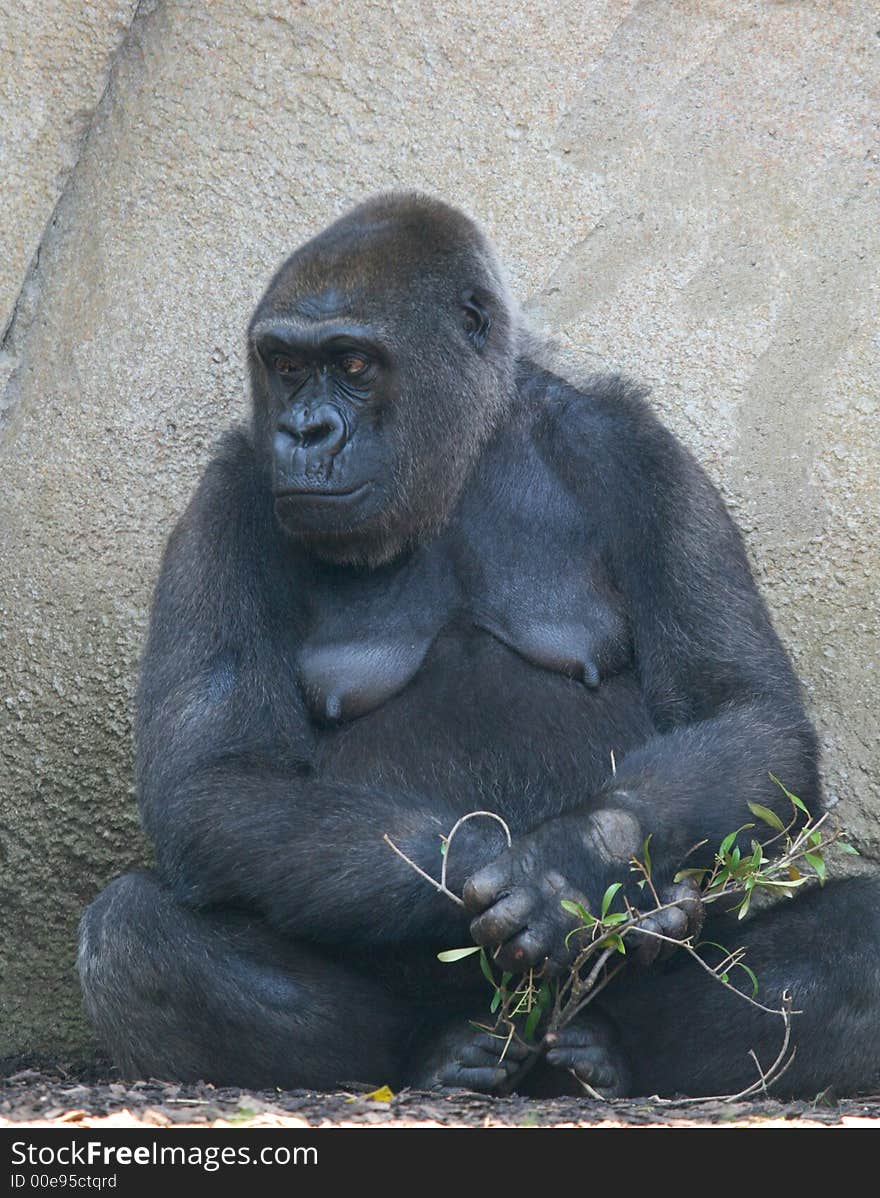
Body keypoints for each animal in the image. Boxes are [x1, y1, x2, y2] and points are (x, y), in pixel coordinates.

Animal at [79, 191, 876, 1097]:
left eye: (353, 364)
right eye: (283, 364)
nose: (305, 432)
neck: (462, 453)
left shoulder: (639, 450)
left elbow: (747, 713)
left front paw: (570, 864)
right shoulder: (229, 498)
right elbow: (215, 779)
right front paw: (494, 867)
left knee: (856, 936)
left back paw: (613, 1049)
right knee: (132, 931)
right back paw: (435, 1052)